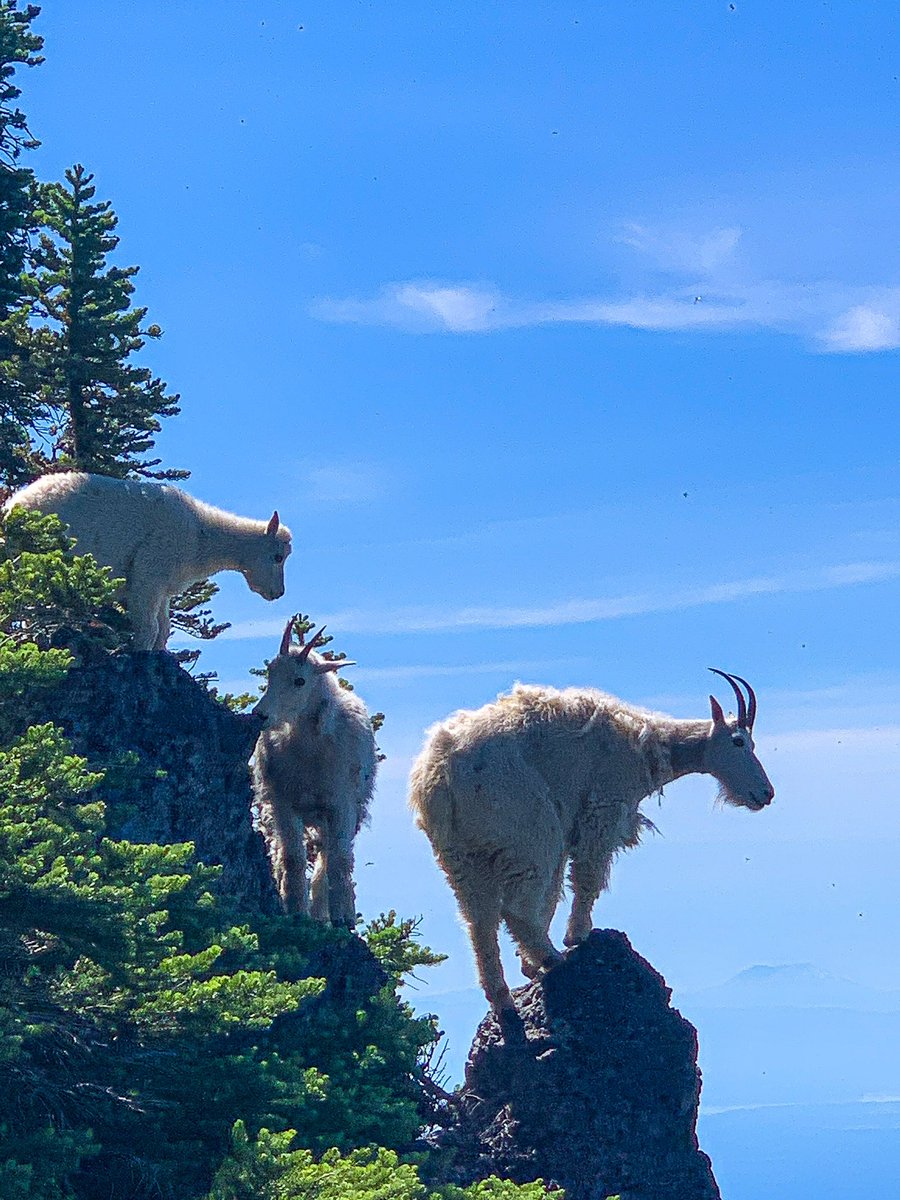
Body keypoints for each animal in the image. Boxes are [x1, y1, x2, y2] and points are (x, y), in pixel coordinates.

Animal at [3, 472, 292, 650]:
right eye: (278, 557)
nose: (277, 593)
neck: (201, 537)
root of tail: (12, 507)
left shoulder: (163, 589)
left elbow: (163, 630)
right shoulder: (148, 574)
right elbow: (149, 628)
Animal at [251, 618, 376, 926]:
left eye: (300, 680)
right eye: (270, 673)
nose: (260, 715)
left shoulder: (341, 805)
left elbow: (339, 861)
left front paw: (343, 917)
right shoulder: (283, 803)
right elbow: (293, 858)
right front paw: (295, 909)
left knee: (327, 857)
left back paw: (328, 910)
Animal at [409, 670, 774, 1019]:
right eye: (739, 741)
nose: (766, 794)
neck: (648, 746)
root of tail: (441, 777)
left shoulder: (566, 828)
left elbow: (552, 894)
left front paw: (529, 966)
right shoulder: (602, 811)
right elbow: (588, 878)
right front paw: (577, 936)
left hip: (462, 855)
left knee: (480, 922)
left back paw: (504, 998)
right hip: (529, 832)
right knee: (515, 908)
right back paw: (552, 959)